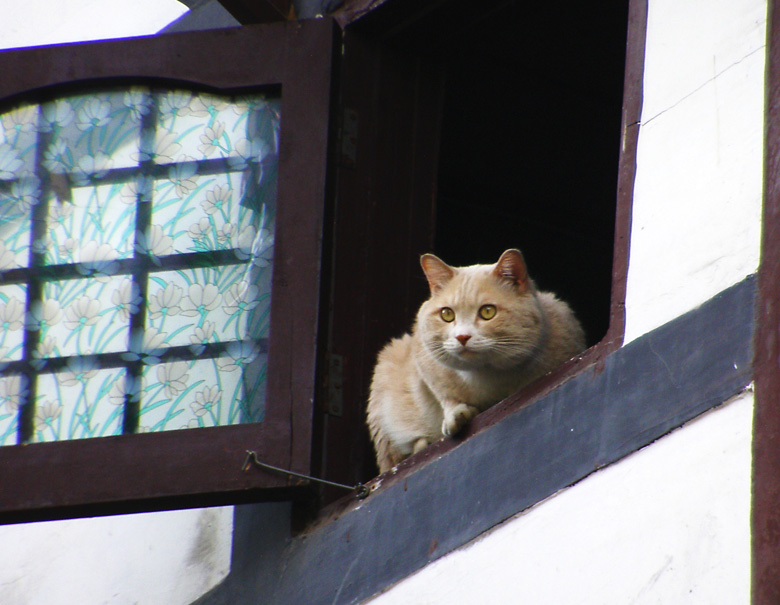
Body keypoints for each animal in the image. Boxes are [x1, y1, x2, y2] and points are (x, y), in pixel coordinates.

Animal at [366, 248, 584, 474]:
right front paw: (456, 414)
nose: (462, 337)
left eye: (488, 312)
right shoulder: (423, 356)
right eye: (447, 314)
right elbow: (445, 394)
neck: (487, 376)